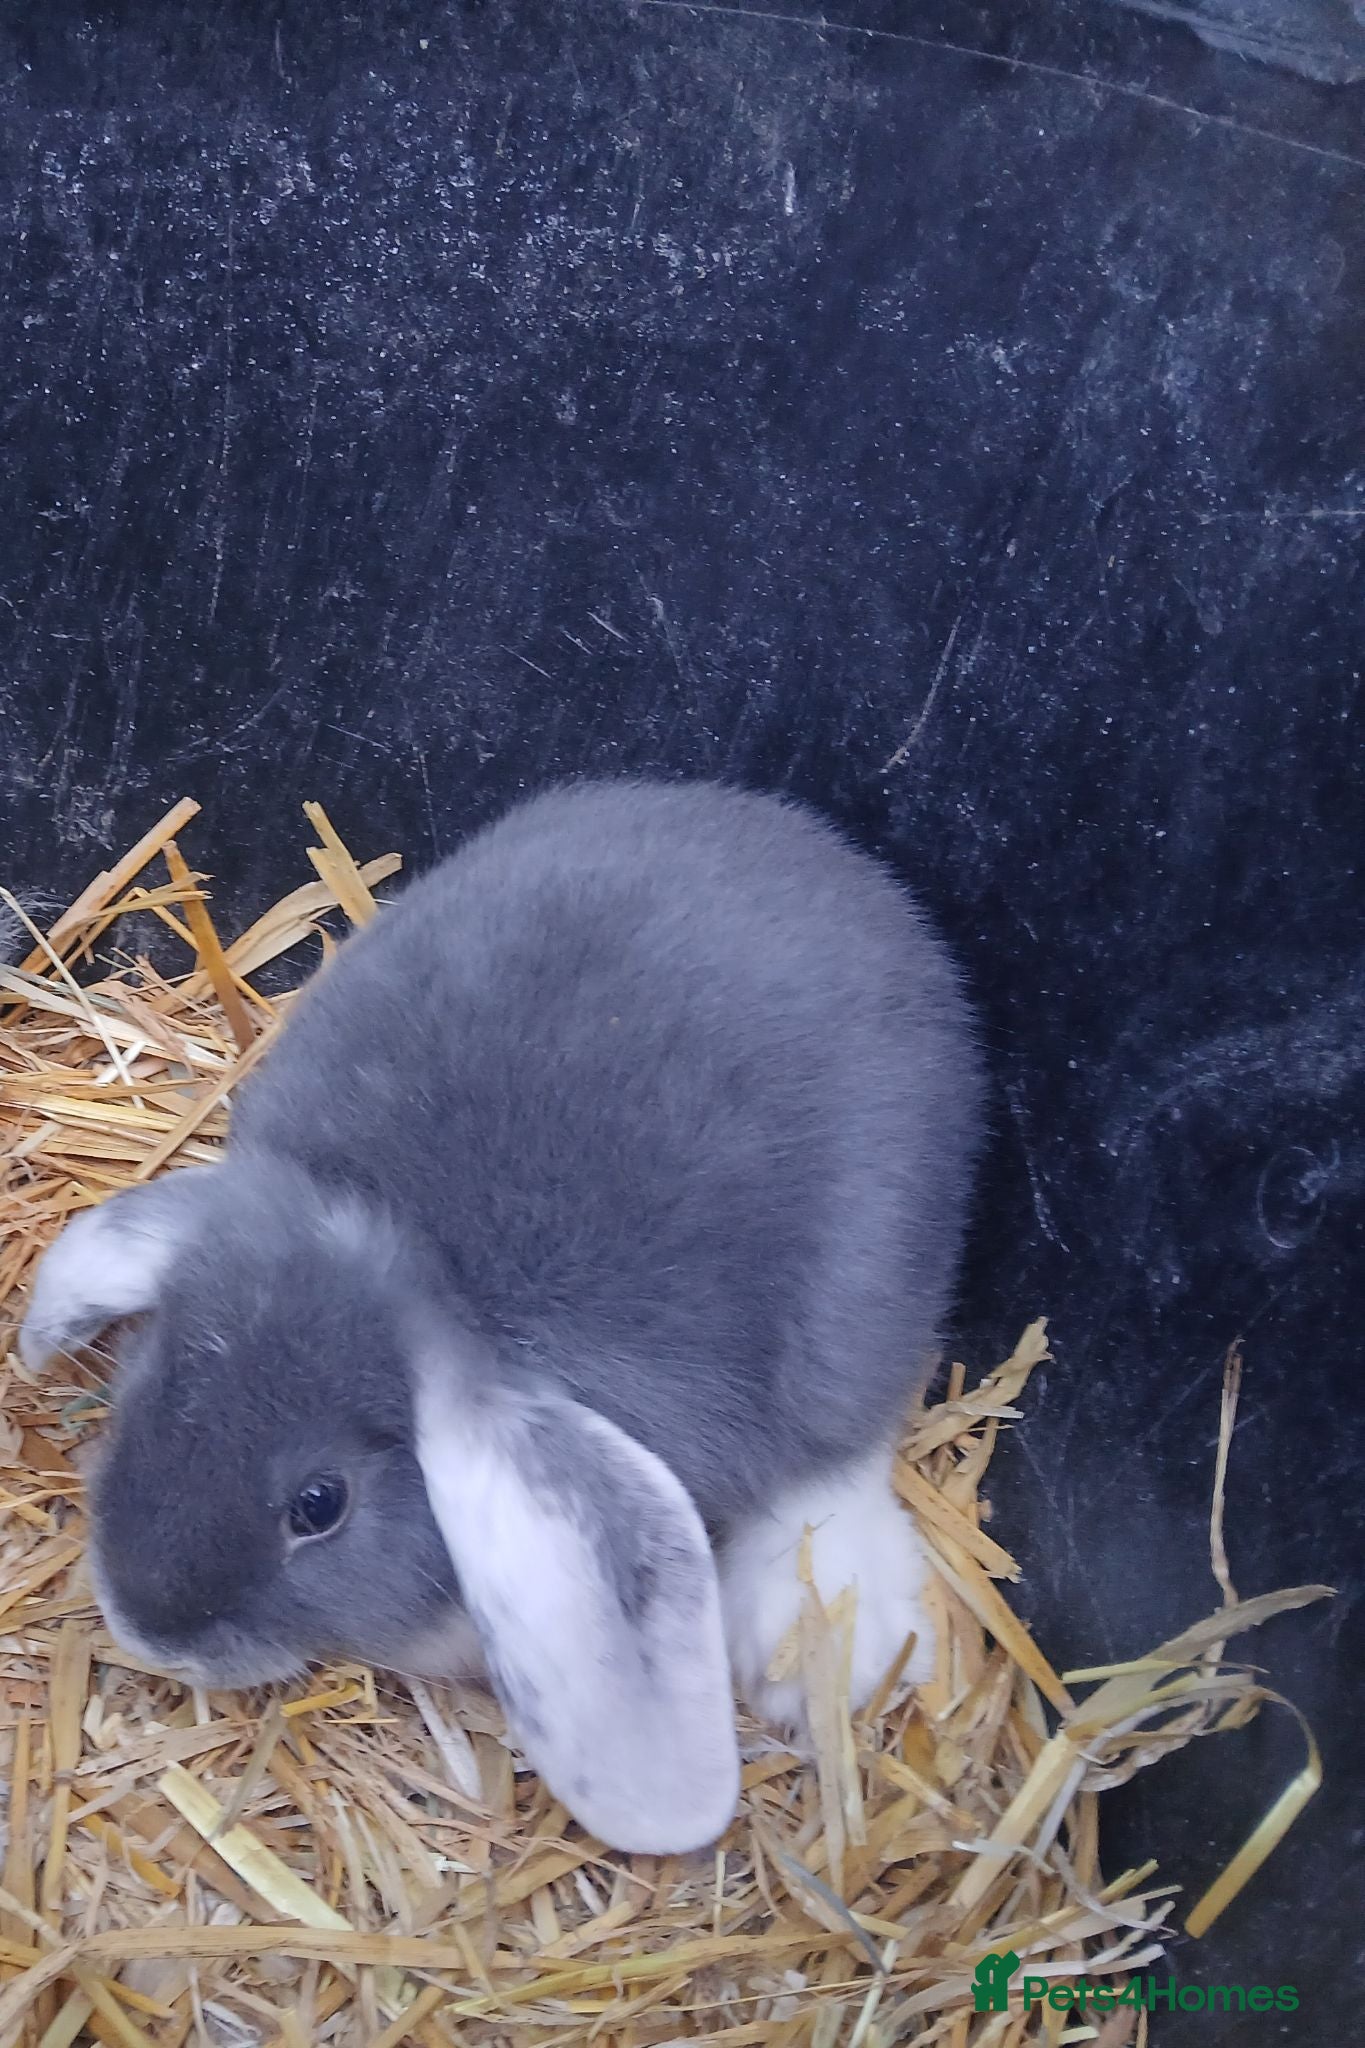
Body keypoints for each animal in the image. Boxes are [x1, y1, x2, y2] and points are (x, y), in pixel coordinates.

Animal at [18, 777, 985, 1855]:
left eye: (319, 1504)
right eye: (151, 1380)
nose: (148, 1628)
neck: (421, 1257)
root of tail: (842, 865)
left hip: (861, 1303)